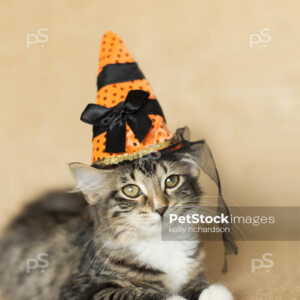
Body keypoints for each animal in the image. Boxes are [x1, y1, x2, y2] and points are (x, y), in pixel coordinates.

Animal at [0, 145, 232, 298]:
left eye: (171, 181)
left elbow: (199, 285)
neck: (162, 243)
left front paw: (214, 292)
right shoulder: (82, 288)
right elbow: (139, 293)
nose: (161, 208)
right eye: (131, 190)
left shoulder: (192, 272)